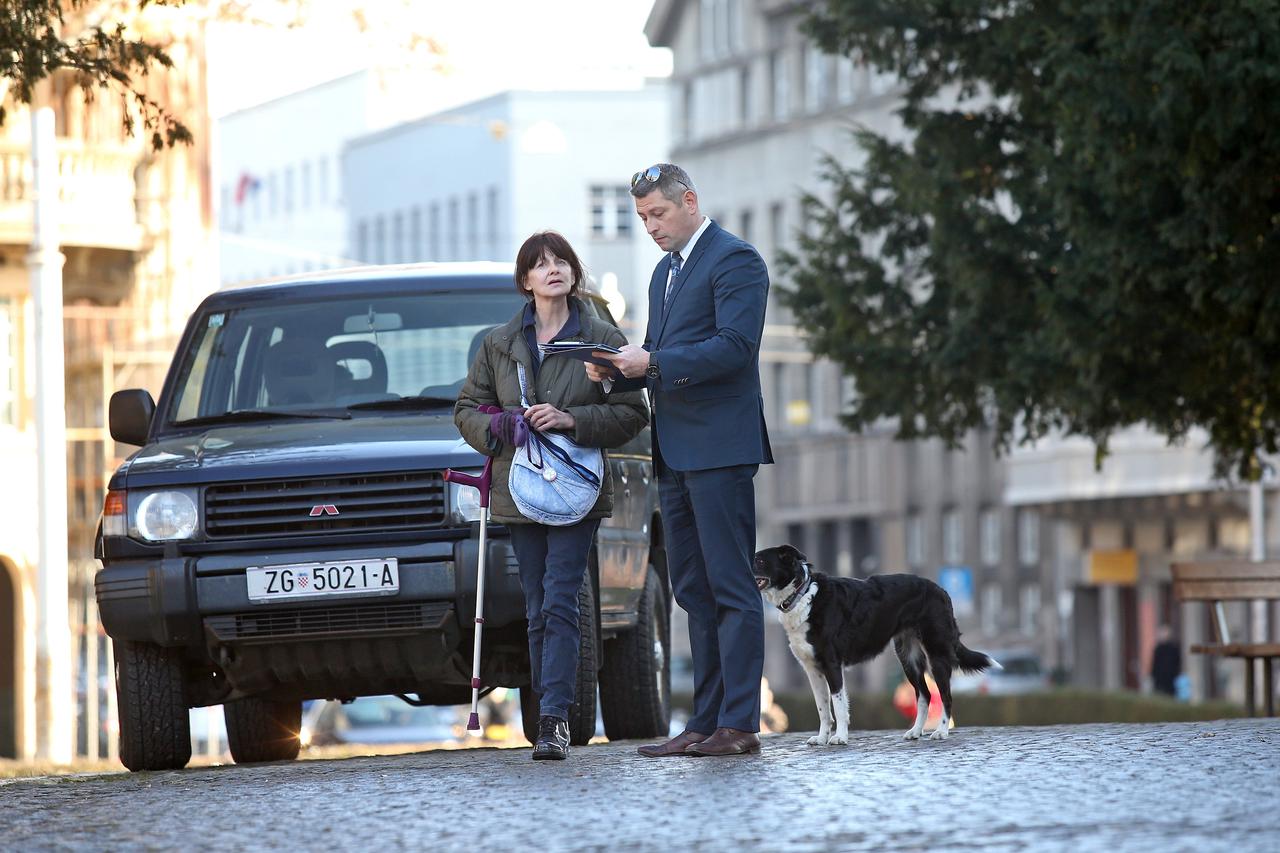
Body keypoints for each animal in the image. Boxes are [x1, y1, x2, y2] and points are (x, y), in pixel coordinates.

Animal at [747, 545, 998, 742]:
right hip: (909, 659)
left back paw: (941, 732)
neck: (803, 594)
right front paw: (821, 739)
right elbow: (823, 709)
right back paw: (915, 732)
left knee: (945, 696)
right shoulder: (812, 669)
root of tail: (942, 591)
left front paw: (840, 738)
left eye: (759, 560)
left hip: (937, 654)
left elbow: (838, 705)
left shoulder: (831, 664)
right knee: (924, 695)